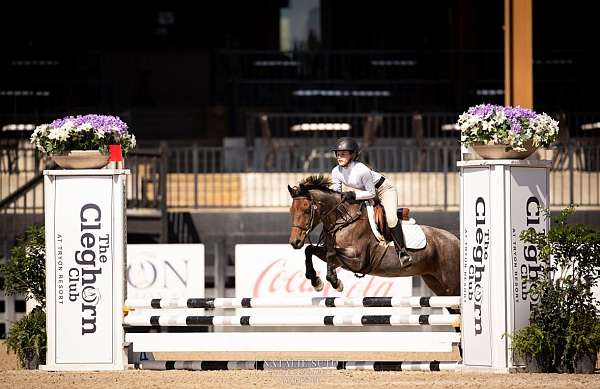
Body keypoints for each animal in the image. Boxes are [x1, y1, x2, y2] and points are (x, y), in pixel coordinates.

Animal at [286, 176, 460, 298]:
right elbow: (310, 250)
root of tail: (455, 240)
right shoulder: (338, 258)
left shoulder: (358, 260)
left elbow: (330, 253)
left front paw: (335, 282)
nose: (294, 242)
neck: (343, 220)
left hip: (451, 284)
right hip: (435, 282)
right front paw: (316, 281)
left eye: (306, 210)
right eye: (291, 211)